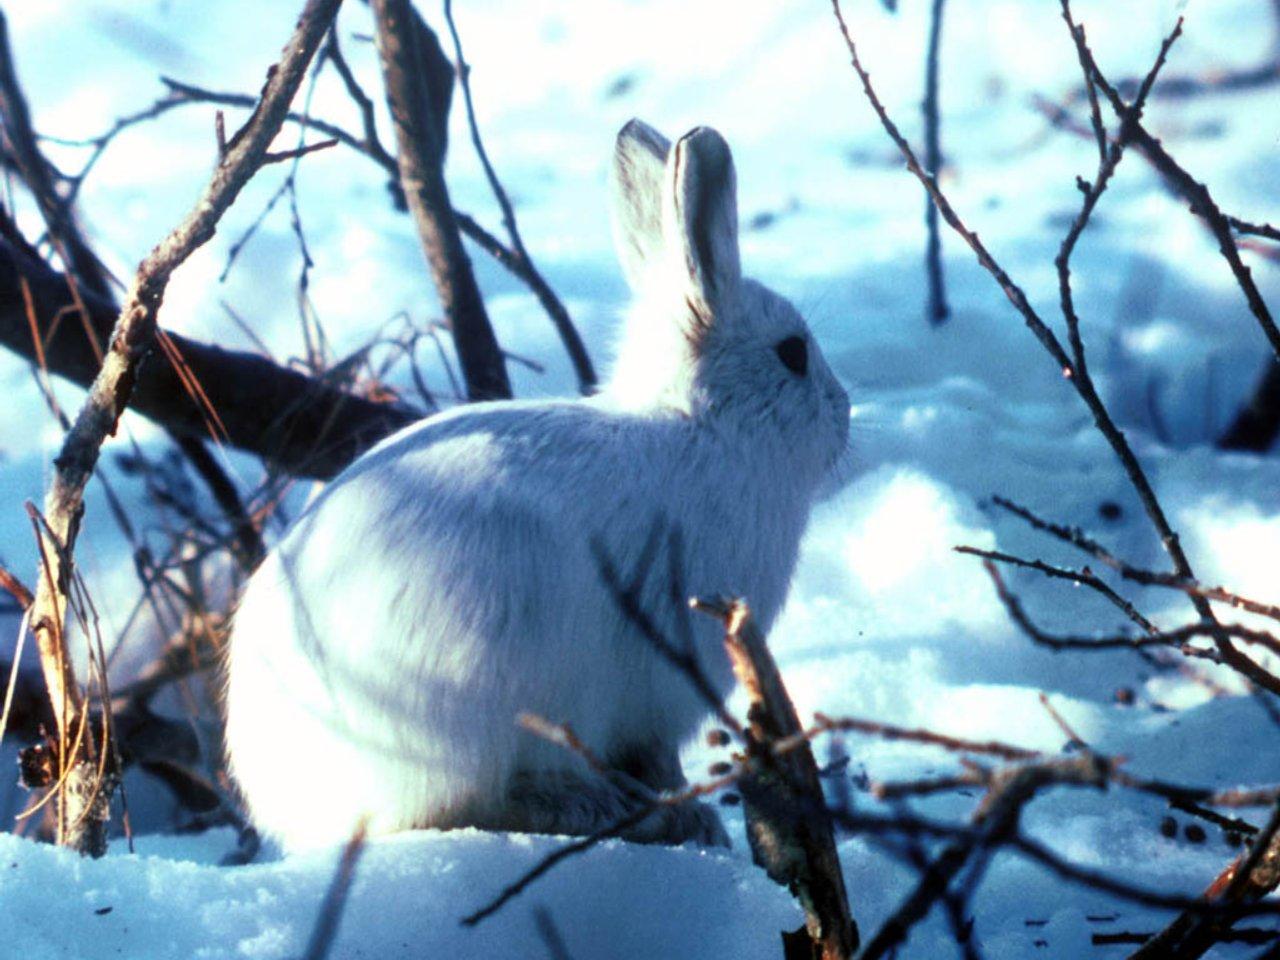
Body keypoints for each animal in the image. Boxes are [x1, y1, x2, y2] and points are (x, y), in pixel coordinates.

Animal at [226, 120, 855, 849]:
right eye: (793, 354)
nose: (844, 413)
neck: (701, 427)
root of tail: (297, 802)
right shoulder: (663, 682)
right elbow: (659, 756)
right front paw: (693, 814)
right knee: (462, 808)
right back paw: (602, 808)